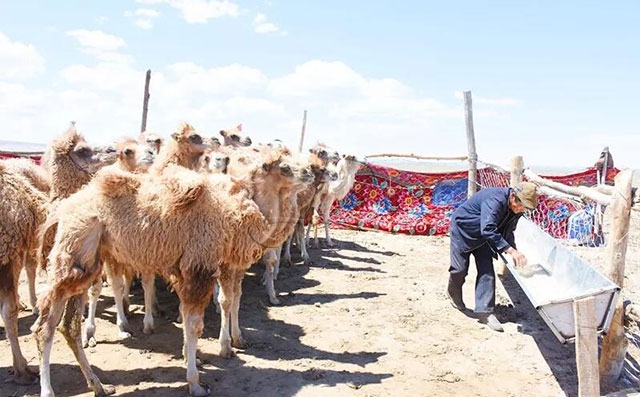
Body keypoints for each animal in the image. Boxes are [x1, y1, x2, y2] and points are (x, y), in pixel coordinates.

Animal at [35, 150, 310, 394]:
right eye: (284, 167)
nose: (310, 172)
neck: (234, 214)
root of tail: (63, 209)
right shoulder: (200, 266)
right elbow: (195, 324)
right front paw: (196, 382)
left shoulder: (216, 266)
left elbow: (224, 303)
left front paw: (216, 349)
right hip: (75, 250)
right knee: (46, 326)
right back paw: (50, 388)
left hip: (87, 262)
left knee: (68, 325)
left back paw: (99, 386)